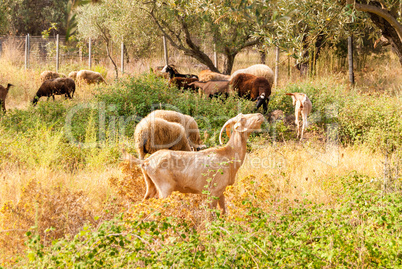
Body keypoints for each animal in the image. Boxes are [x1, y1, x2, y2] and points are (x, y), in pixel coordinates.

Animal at [122, 112, 266, 213]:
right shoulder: (213, 192)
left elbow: (223, 212)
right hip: (165, 188)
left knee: (144, 201)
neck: (228, 154)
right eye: (242, 119)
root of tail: (146, 161)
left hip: (150, 185)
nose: (260, 115)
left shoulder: (221, 191)